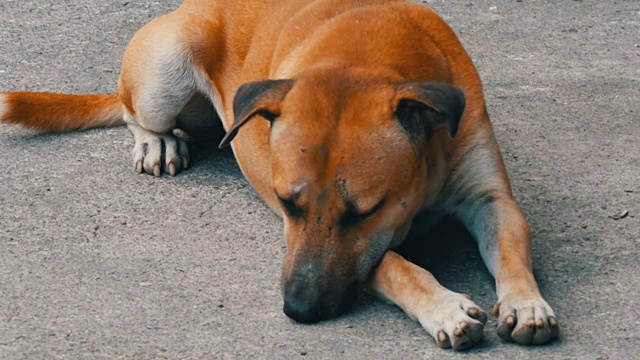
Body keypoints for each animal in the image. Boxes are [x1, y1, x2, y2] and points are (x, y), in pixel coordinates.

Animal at [0, 0, 556, 350]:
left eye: (365, 212)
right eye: (287, 203)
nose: (299, 310)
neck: (370, 59)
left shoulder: (490, 200)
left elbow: (511, 249)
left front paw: (526, 303)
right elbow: (396, 265)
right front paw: (444, 307)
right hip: (164, 72)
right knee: (135, 112)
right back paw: (156, 140)